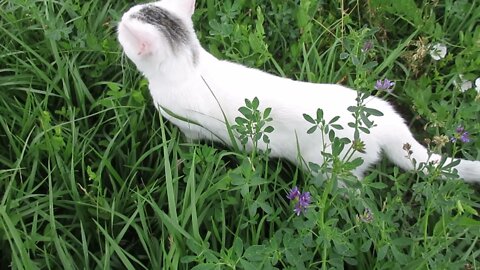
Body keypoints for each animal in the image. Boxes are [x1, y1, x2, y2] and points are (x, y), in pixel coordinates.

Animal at [116, 0, 480, 182]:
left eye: (122, 27)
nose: (118, 18)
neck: (190, 65)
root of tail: (388, 121)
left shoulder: (187, 126)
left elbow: (188, 143)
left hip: (328, 168)